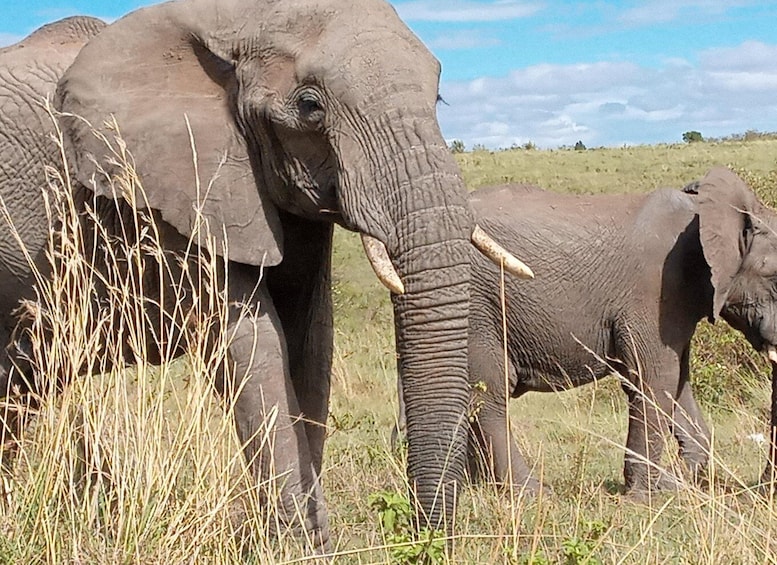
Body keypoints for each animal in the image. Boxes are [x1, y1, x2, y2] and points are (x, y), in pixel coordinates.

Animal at [0, 0, 532, 552]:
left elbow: (310, 340)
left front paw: (311, 545)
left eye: (439, 97)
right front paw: (300, 547)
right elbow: (252, 343)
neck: (231, 21)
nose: (421, 535)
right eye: (311, 107)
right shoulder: (172, 187)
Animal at [398, 169, 776, 498]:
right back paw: (531, 494)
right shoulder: (656, 289)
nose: (758, 488)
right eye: (773, 276)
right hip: (474, 302)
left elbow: (677, 383)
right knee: (488, 394)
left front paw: (679, 483)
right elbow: (654, 378)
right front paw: (646, 498)